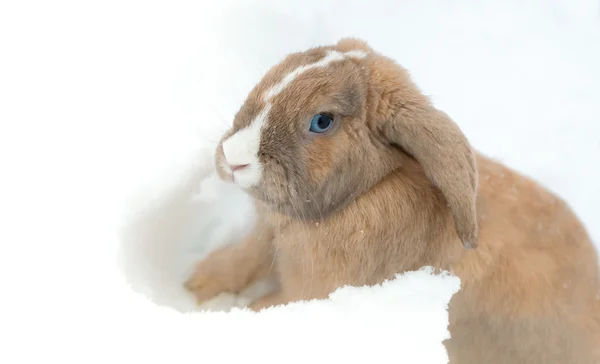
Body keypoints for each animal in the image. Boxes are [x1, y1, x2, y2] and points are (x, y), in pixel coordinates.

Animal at [184, 38, 600, 362]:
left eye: (322, 121)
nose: (233, 157)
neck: (370, 189)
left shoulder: (307, 291)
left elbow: (266, 304)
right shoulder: (264, 238)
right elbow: (243, 258)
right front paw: (196, 286)